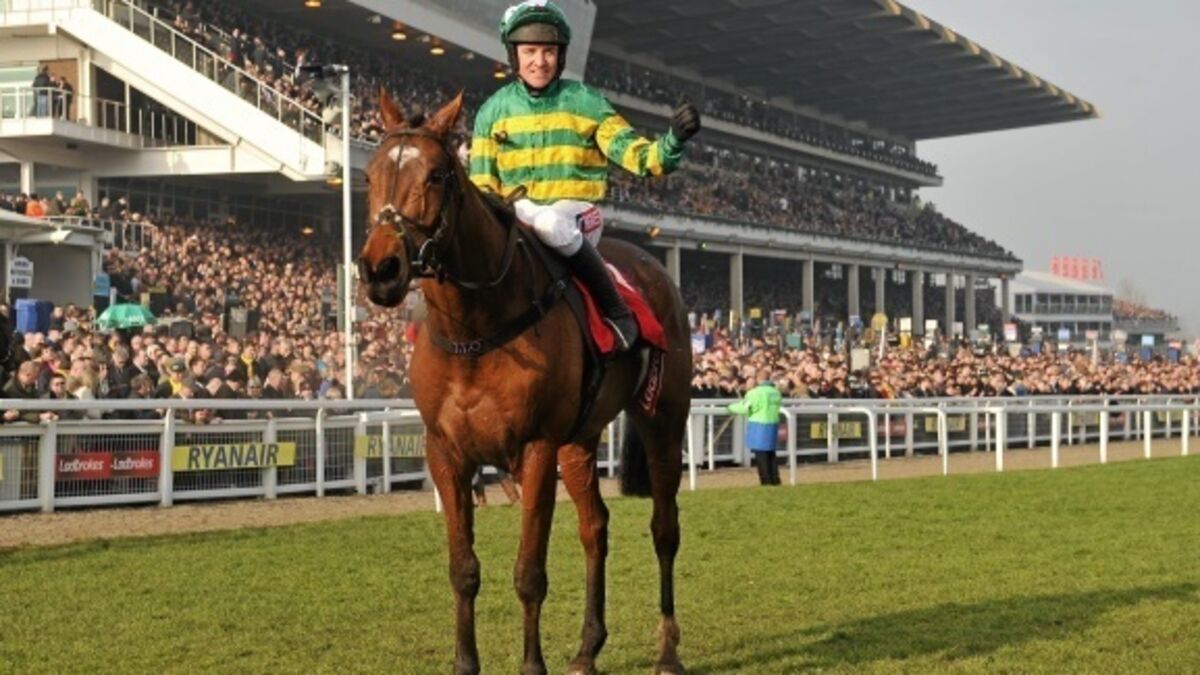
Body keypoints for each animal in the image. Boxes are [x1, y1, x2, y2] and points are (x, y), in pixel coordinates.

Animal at [357, 89, 693, 675]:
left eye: (438, 174)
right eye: (372, 173)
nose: (380, 268)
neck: (476, 331)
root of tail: (653, 267)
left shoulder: (535, 447)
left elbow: (529, 574)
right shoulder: (446, 452)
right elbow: (463, 570)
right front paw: (465, 663)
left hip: (663, 421)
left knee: (663, 528)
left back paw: (668, 650)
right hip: (580, 441)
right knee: (595, 527)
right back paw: (587, 648)